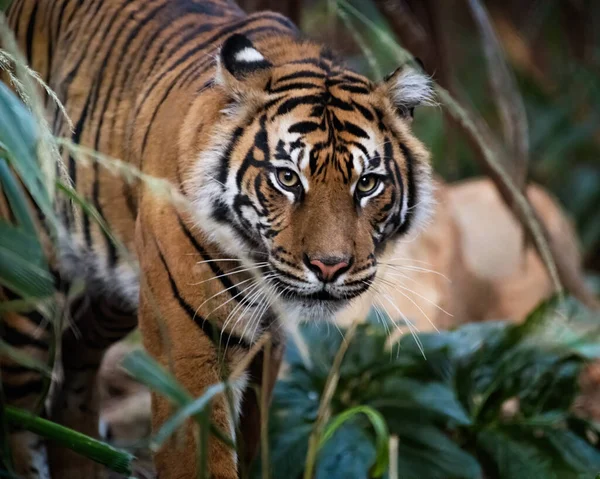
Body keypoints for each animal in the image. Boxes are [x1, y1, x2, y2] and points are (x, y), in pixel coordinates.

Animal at [1, 0, 436, 479]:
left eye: (367, 184)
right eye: (288, 178)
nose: (330, 266)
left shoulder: (267, 346)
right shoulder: (189, 347)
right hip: (26, 282)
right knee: (18, 417)